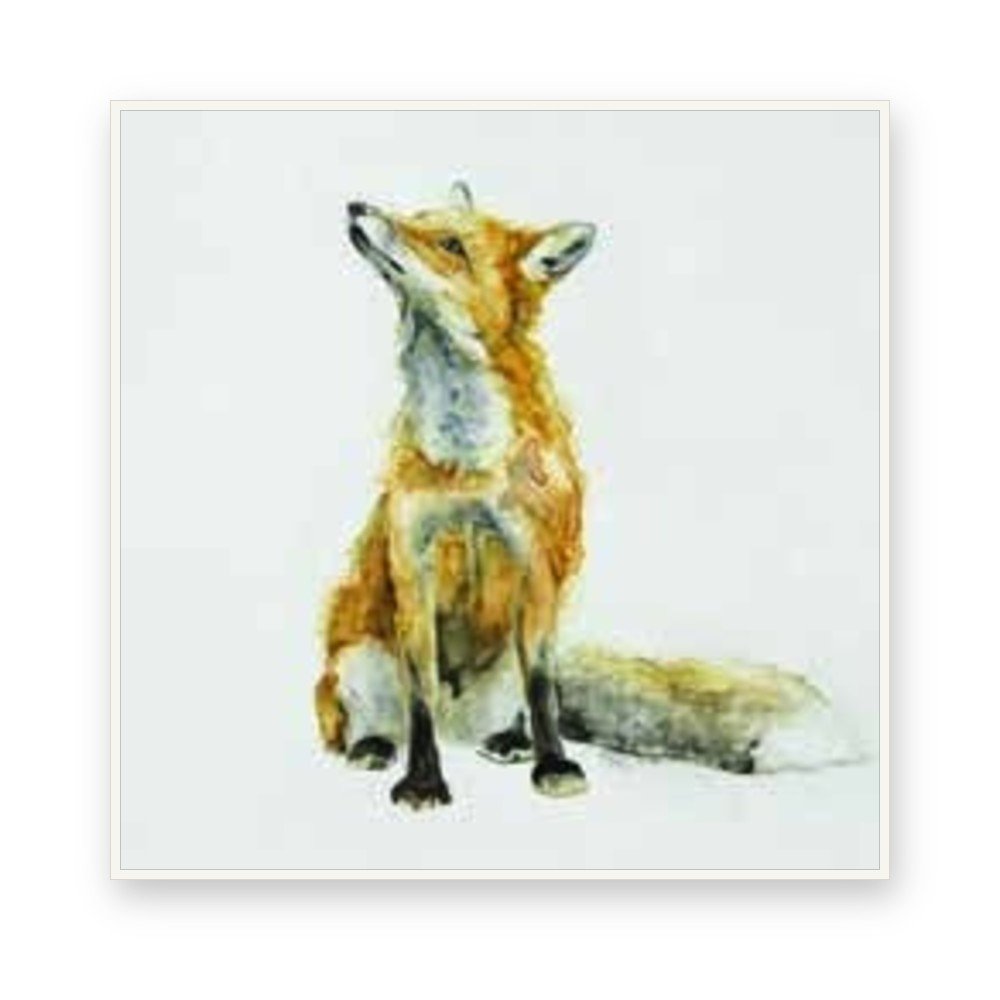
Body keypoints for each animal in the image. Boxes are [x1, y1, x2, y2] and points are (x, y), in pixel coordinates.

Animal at [315, 181, 855, 809]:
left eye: (449, 243)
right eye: (418, 216)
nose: (356, 206)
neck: (468, 462)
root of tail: (462, 723)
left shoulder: (536, 565)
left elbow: (543, 691)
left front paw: (553, 765)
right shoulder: (413, 565)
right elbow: (420, 695)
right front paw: (424, 780)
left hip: (502, 669)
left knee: (522, 704)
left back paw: (509, 742)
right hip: (358, 661)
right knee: (376, 718)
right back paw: (373, 745)